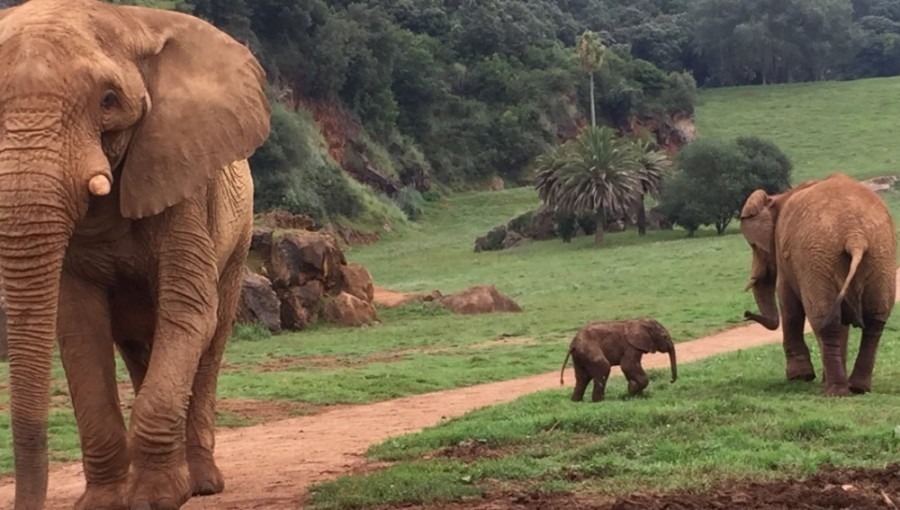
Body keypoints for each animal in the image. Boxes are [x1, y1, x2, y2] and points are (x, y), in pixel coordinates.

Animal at [0, 0, 270, 510]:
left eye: (108, 101)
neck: (130, 20)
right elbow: (79, 325)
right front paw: (105, 503)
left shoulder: (182, 180)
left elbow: (188, 310)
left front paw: (158, 499)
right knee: (141, 345)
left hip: (240, 239)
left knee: (210, 341)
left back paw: (202, 483)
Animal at [740, 175, 896, 398]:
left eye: (755, 246)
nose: (745, 314)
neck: (779, 197)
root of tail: (855, 236)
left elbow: (789, 307)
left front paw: (799, 378)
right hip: (880, 256)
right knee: (874, 320)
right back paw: (857, 388)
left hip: (818, 258)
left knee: (824, 320)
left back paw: (835, 392)